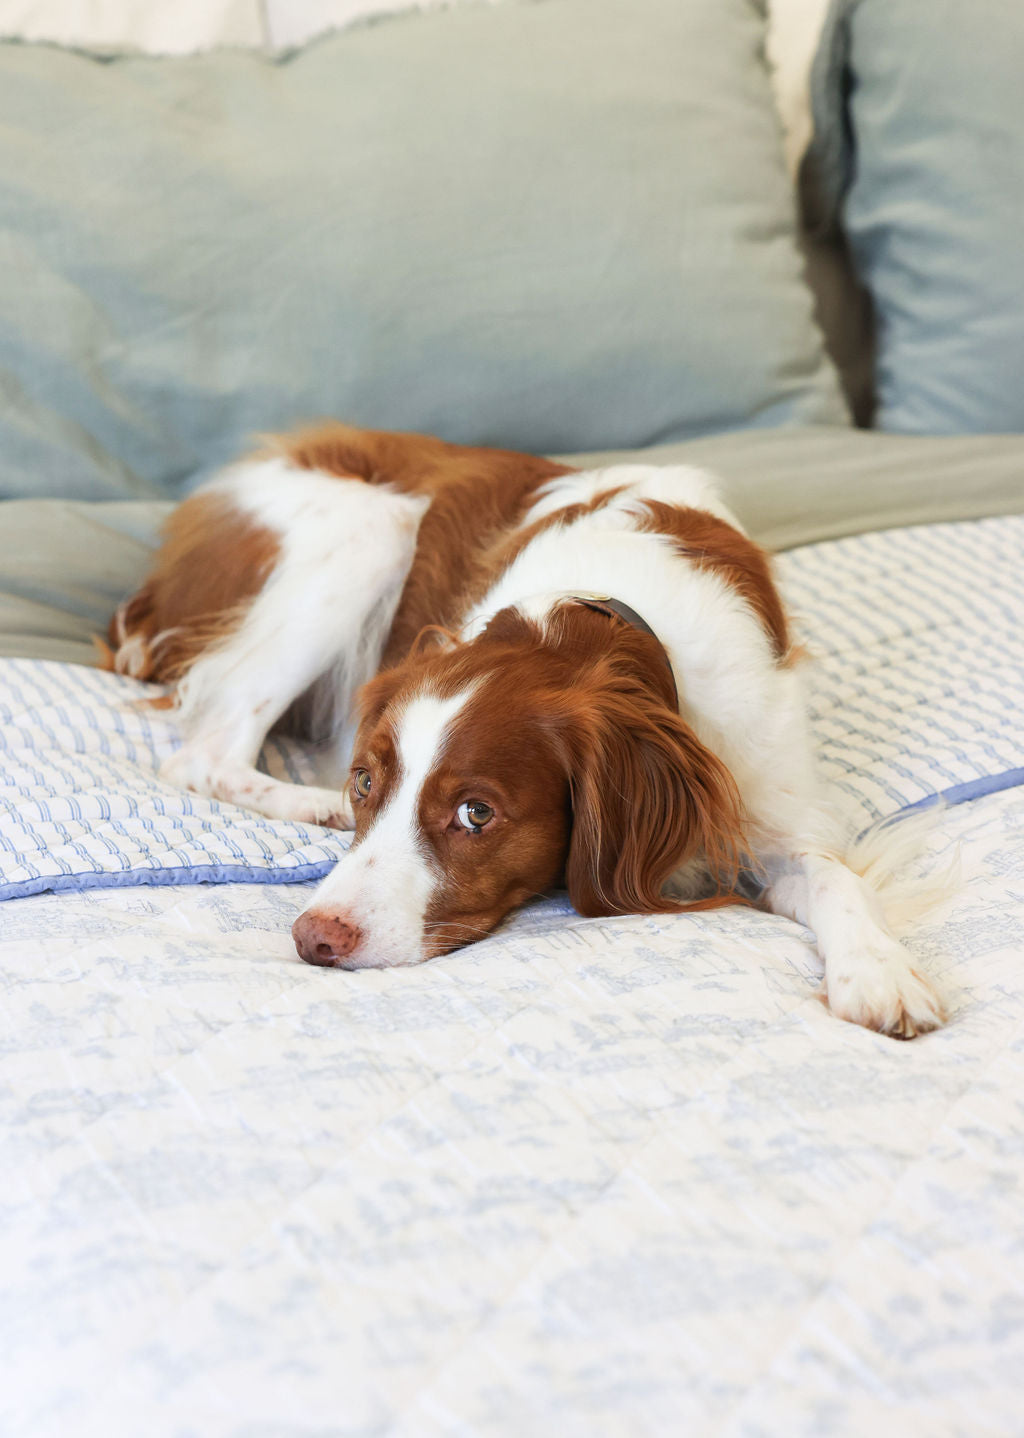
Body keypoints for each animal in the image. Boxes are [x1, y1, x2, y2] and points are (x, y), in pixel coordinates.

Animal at [107, 419, 949, 1041]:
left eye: (476, 813)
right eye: (365, 781)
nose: (316, 939)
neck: (596, 617)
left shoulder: (769, 793)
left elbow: (833, 875)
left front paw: (879, 970)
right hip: (369, 526)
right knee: (206, 750)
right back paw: (308, 804)